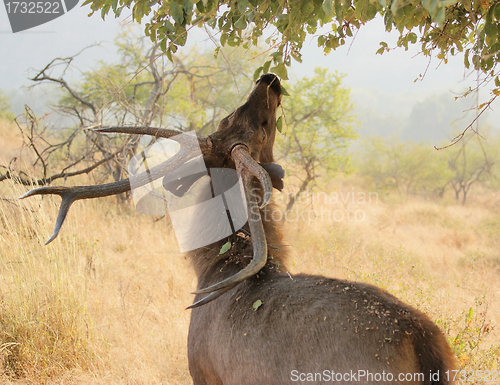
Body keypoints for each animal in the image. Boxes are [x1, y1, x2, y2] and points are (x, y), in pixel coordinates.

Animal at [20, 73, 458, 382]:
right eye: (231, 115)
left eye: (262, 122)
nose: (270, 78)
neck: (216, 267)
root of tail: (426, 344)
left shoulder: (203, 371)